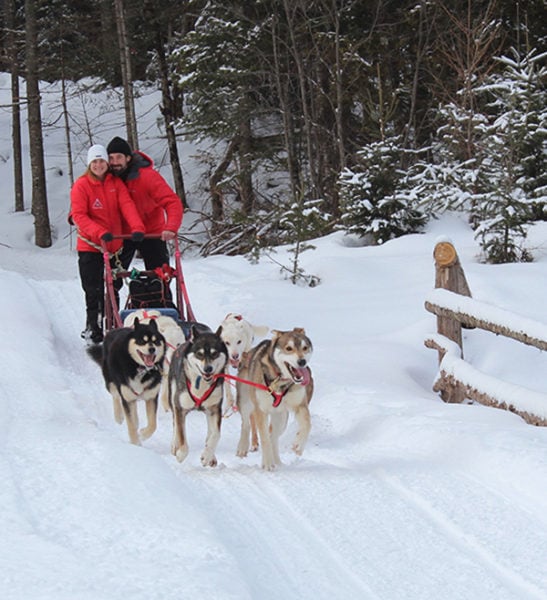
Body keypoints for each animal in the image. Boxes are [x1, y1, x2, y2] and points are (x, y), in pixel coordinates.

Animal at [235, 326, 312, 472]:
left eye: (305, 348)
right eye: (289, 348)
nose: (302, 362)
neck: (279, 380)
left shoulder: (300, 405)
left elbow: (307, 425)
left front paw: (298, 445)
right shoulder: (260, 411)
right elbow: (264, 438)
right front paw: (267, 463)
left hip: (281, 418)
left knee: (273, 437)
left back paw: (277, 461)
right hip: (246, 402)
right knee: (246, 423)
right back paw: (242, 447)